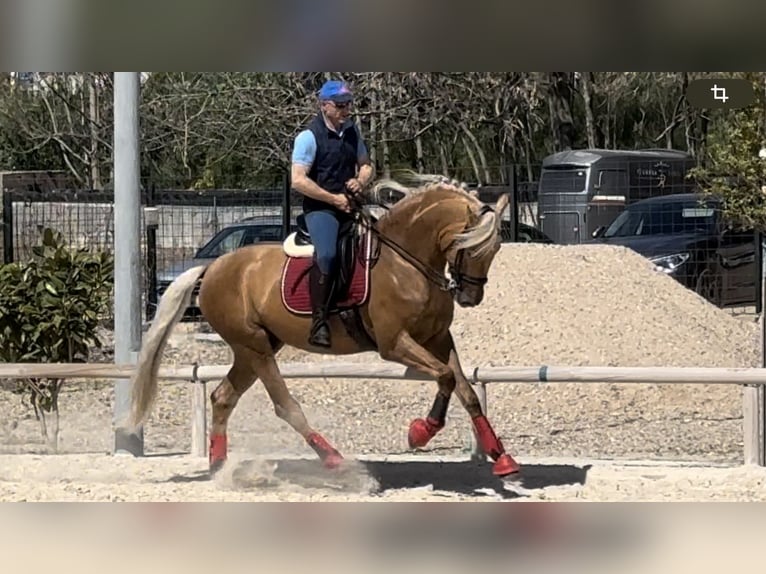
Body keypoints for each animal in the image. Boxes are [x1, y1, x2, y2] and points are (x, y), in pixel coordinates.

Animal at [126, 174, 520, 476]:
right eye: (469, 246)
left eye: (496, 249)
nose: (470, 297)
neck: (407, 263)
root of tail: (212, 268)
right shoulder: (394, 343)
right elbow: (445, 376)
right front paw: (420, 433)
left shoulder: (438, 338)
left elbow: (465, 389)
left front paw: (502, 458)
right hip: (255, 347)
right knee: (284, 405)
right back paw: (333, 459)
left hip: (254, 348)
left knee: (223, 397)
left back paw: (220, 467)